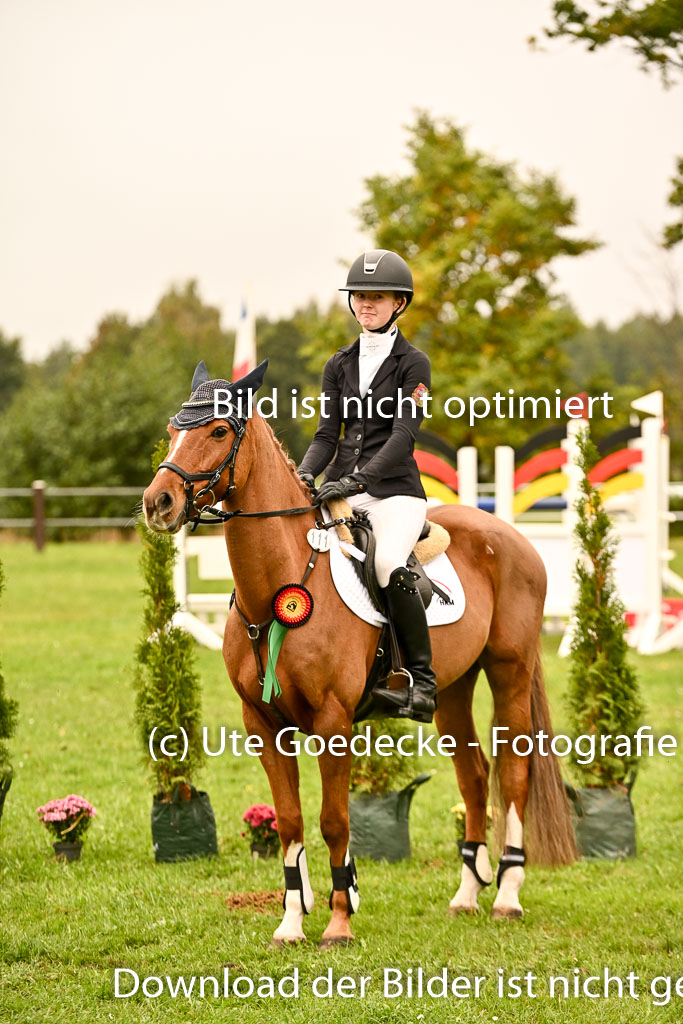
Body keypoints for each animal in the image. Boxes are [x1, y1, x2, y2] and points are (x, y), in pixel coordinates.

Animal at [142, 366, 576, 948]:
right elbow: (291, 820)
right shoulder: (262, 723)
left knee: (513, 774)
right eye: (173, 430)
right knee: (474, 775)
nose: (158, 503)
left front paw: (339, 922)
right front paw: (290, 923)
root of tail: (512, 536)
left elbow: (334, 822)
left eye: (216, 431)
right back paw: (466, 894)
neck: (280, 584)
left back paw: (507, 895)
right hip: (451, 691)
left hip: (509, 670)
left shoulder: (333, 723)